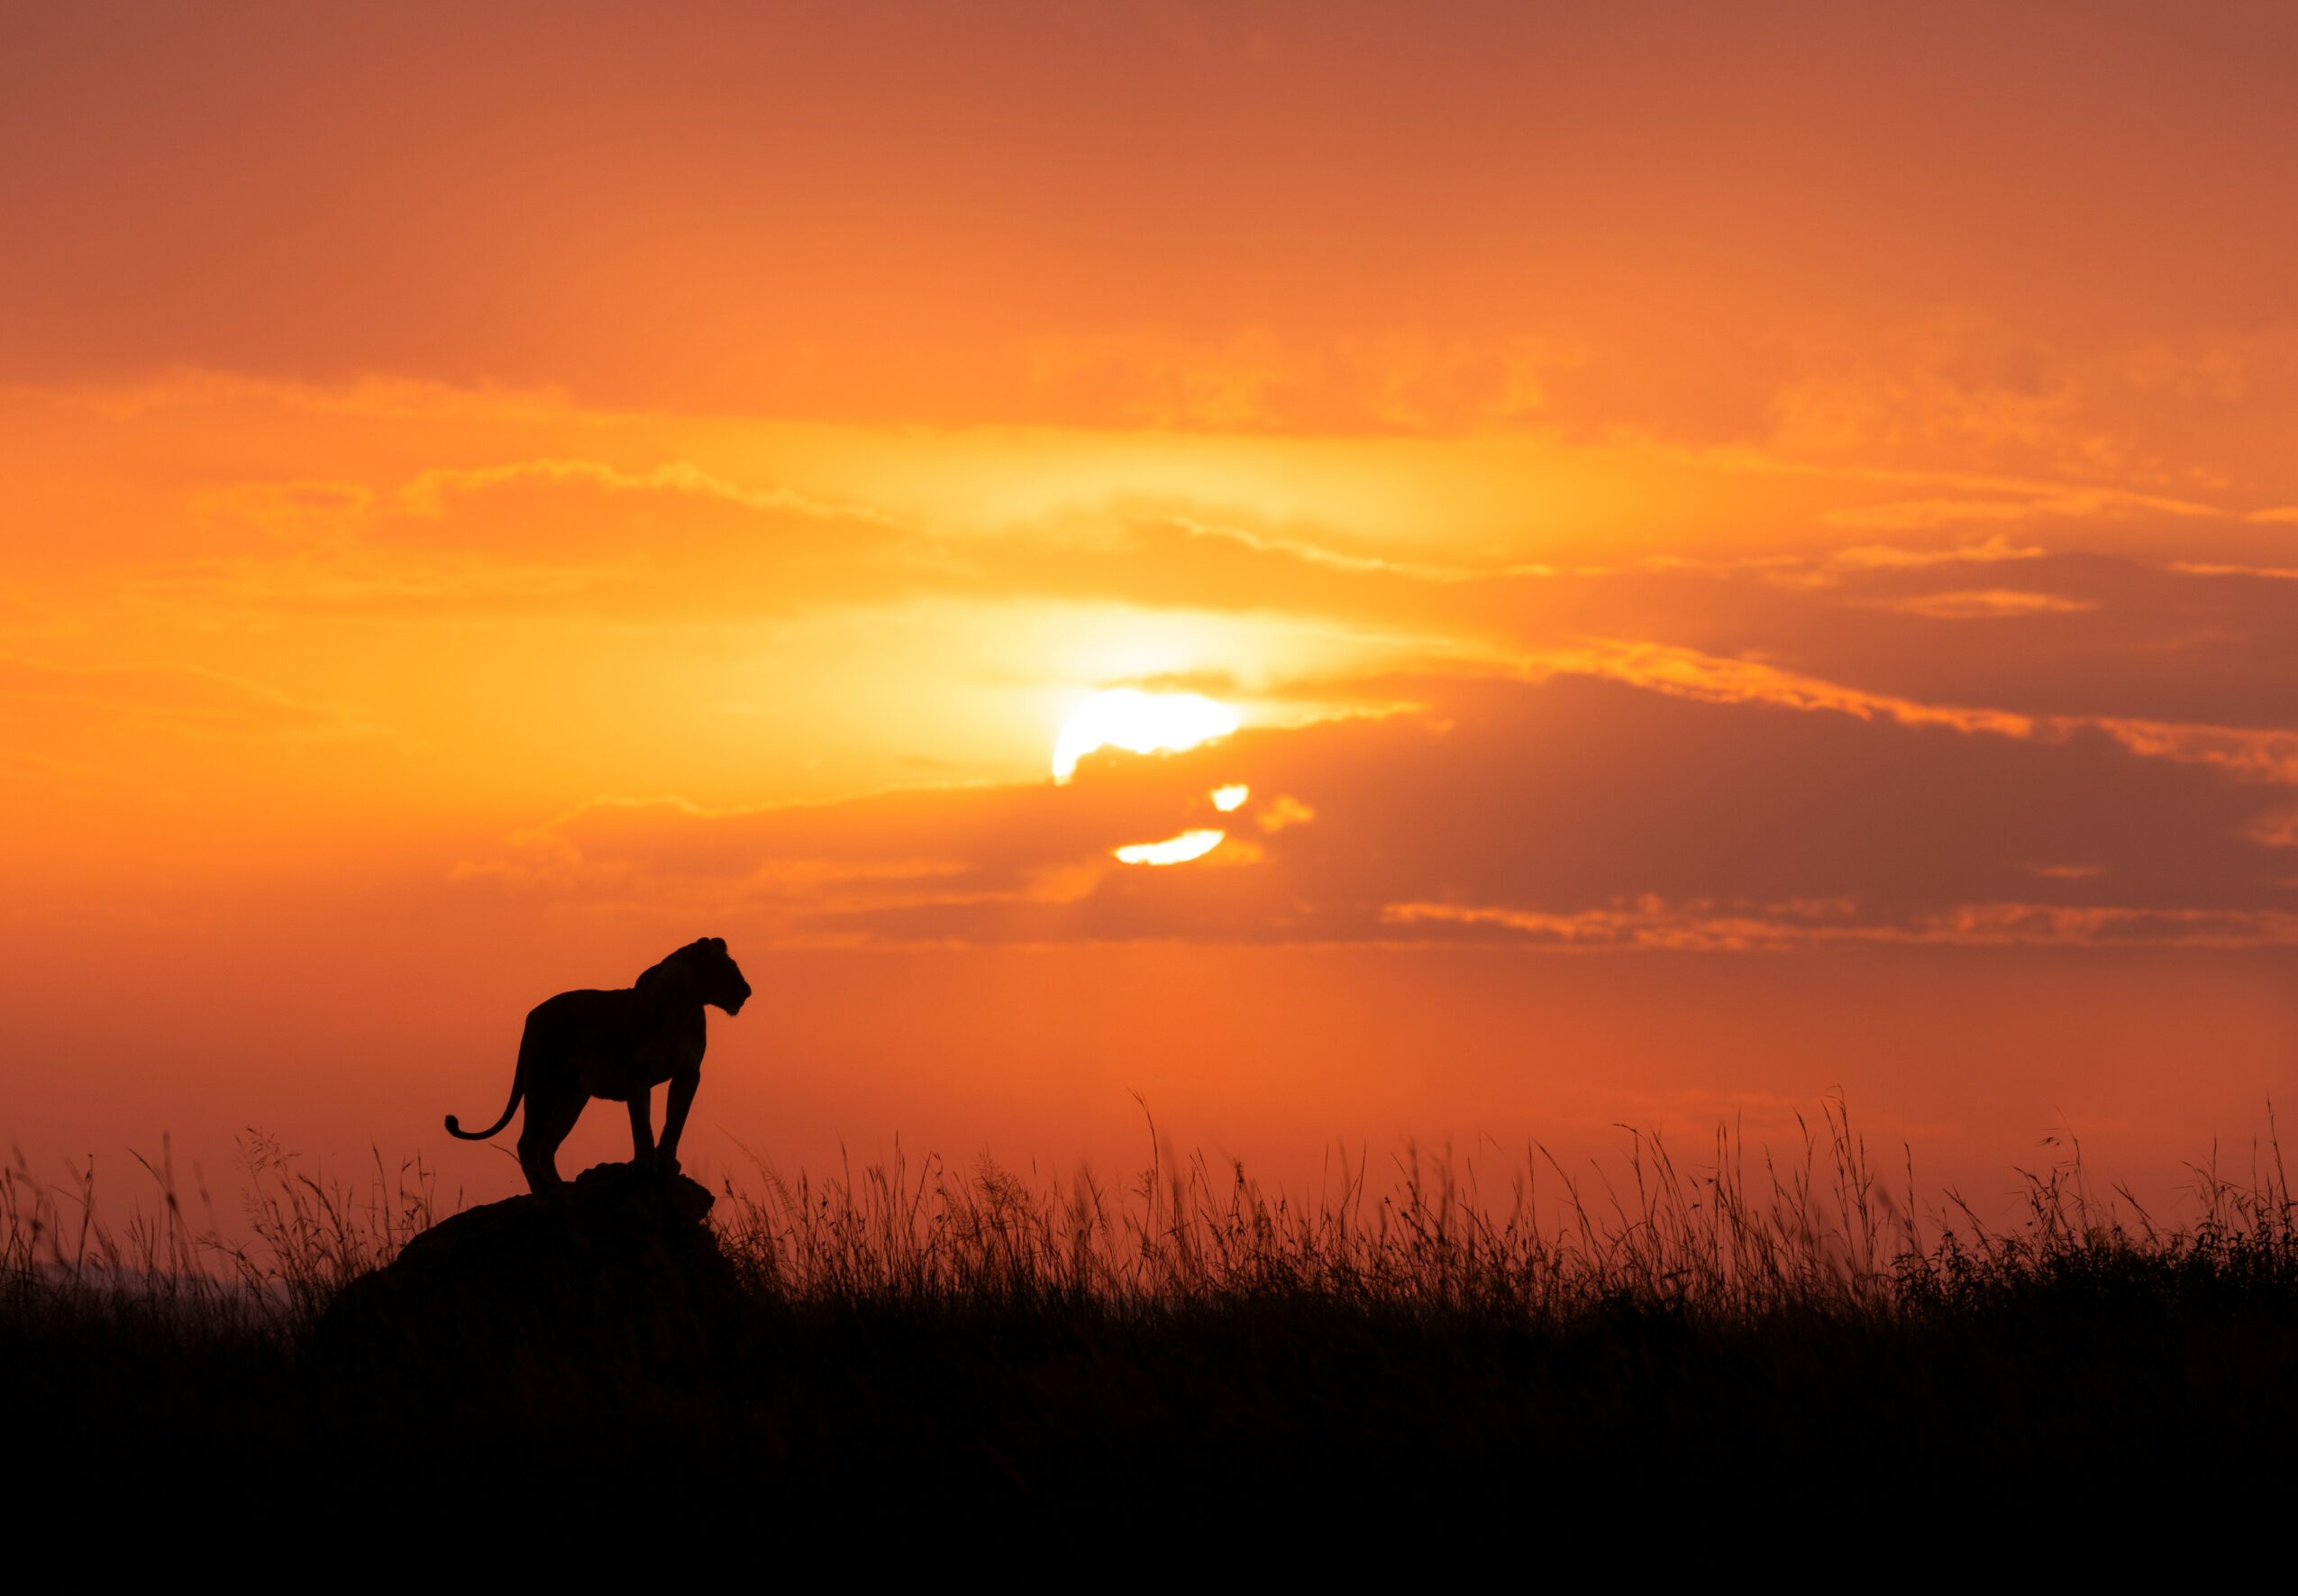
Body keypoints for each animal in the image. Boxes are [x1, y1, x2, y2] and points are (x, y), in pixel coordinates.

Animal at [445, 937, 753, 1194]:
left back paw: (560, 1185)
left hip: (571, 1098)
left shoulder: (688, 1074)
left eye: (734, 966)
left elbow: (675, 1120)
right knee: (528, 1143)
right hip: (541, 1086)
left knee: (547, 1146)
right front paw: (644, 1163)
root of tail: (532, 1016)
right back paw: (544, 1189)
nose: (747, 991)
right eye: (724, 968)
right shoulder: (636, 1074)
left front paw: (667, 1163)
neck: (682, 1008)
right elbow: (641, 1123)